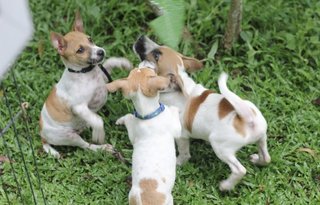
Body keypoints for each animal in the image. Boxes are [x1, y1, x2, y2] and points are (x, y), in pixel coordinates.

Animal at [38, 11, 131, 159]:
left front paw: (123, 62)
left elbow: (109, 62)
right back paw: (103, 148)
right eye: (80, 50)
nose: (101, 52)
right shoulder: (79, 107)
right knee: (86, 146)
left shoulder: (103, 77)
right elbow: (98, 120)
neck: (85, 72)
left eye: (90, 39)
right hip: (69, 136)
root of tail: (42, 136)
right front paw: (99, 134)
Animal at [107, 67, 181, 205]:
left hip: (132, 195)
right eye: (150, 71)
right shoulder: (176, 129)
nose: (149, 65)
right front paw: (176, 108)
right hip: (169, 199)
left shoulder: (134, 133)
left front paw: (120, 120)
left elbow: (128, 117)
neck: (147, 114)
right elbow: (174, 113)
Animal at [134, 35, 272, 191]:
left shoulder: (182, 136)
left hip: (220, 147)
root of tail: (247, 117)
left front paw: (178, 162)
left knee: (239, 170)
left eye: (156, 56)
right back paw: (258, 160)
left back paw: (226, 186)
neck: (175, 88)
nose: (141, 37)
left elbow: (184, 153)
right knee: (266, 156)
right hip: (261, 136)